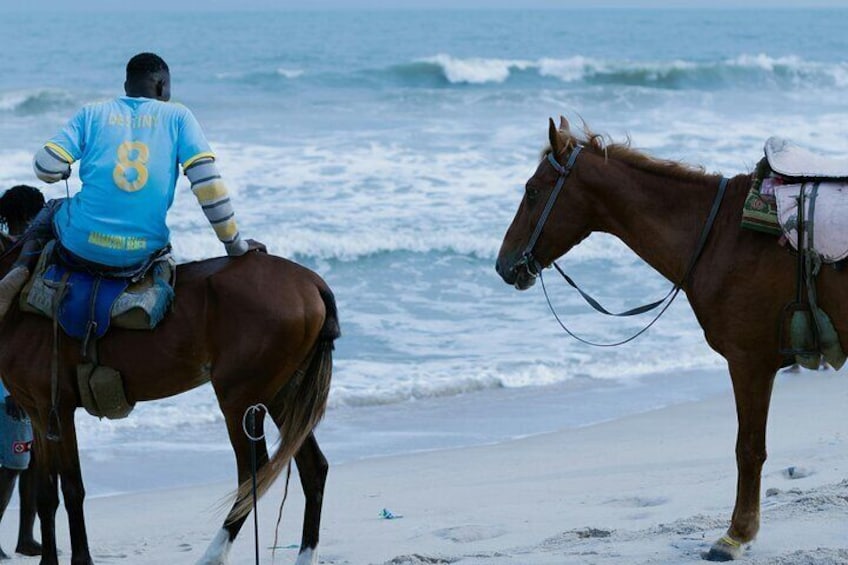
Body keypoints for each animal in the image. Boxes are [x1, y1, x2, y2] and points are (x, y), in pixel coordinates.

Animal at [0, 235, 342, 564]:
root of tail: (312, 283)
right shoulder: (37, 412)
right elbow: (46, 494)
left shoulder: (56, 408)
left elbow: (72, 489)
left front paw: (81, 558)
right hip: (284, 394)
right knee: (313, 467)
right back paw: (305, 555)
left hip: (240, 397)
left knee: (253, 471)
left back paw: (214, 554)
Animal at [494, 118, 840, 560]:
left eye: (533, 191)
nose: (503, 264)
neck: (720, 233)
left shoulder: (749, 362)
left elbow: (748, 449)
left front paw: (736, 535)